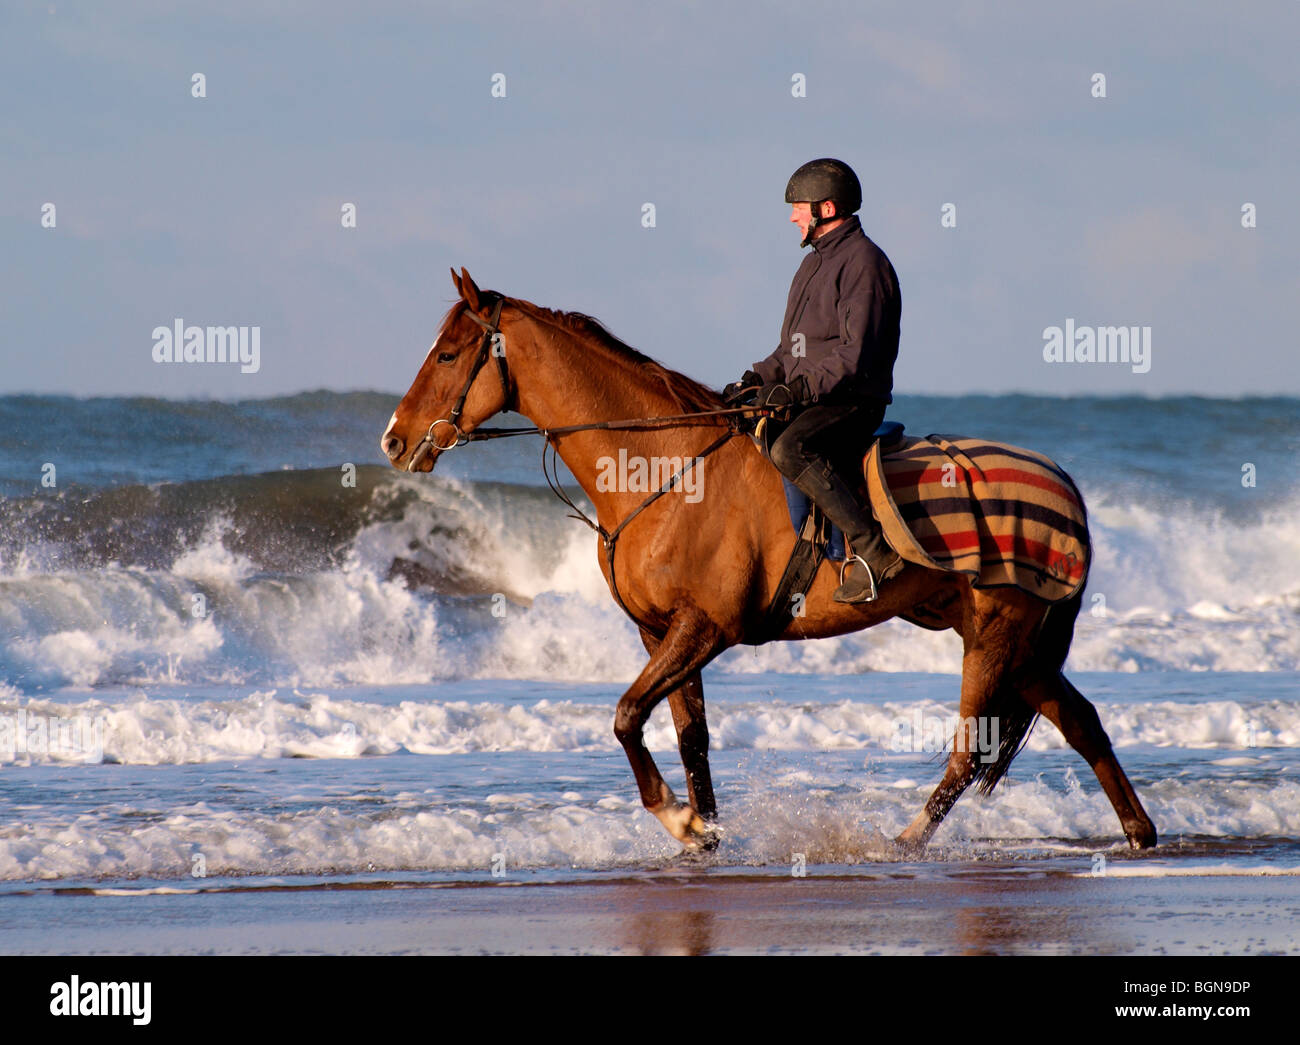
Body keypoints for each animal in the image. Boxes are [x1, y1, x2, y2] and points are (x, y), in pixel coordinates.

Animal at [379, 269, 1159, 857]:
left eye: (447, 355)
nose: (393, 440)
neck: (665, 470)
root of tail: (1062, 483)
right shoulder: (661, 632)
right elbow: (689, 736)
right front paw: (705, 833)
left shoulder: (705, 628)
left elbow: (628, 715)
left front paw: (681, 820)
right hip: (1010, 640)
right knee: (1079, 719)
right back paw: (1138, 832)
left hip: (997, 636)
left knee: (971, 750)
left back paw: (905, 840)